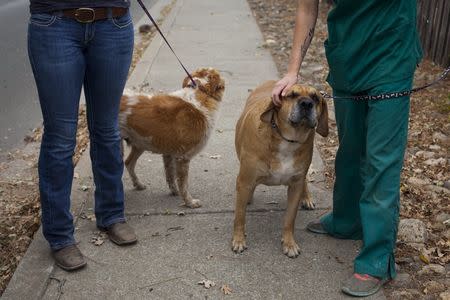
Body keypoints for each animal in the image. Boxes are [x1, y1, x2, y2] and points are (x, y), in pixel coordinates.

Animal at [119, 68, 225, 209]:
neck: (200, 92)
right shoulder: (183, 157)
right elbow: (183, 183)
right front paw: (189, 202)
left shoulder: (169, 153)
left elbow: (170, 175)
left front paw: (174, 191)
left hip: (140, 143)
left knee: (129, 163)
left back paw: (138, 184)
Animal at [232, 80, 326, 258]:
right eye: (292, 95)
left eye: (315, 98)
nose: (307, 104)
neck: (288, 140)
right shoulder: (245, 181)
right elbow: (240, 216)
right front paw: (239, 239)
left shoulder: (295, 186)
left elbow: (289, 219)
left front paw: (289, 243)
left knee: (305, 181)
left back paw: (306, 198)